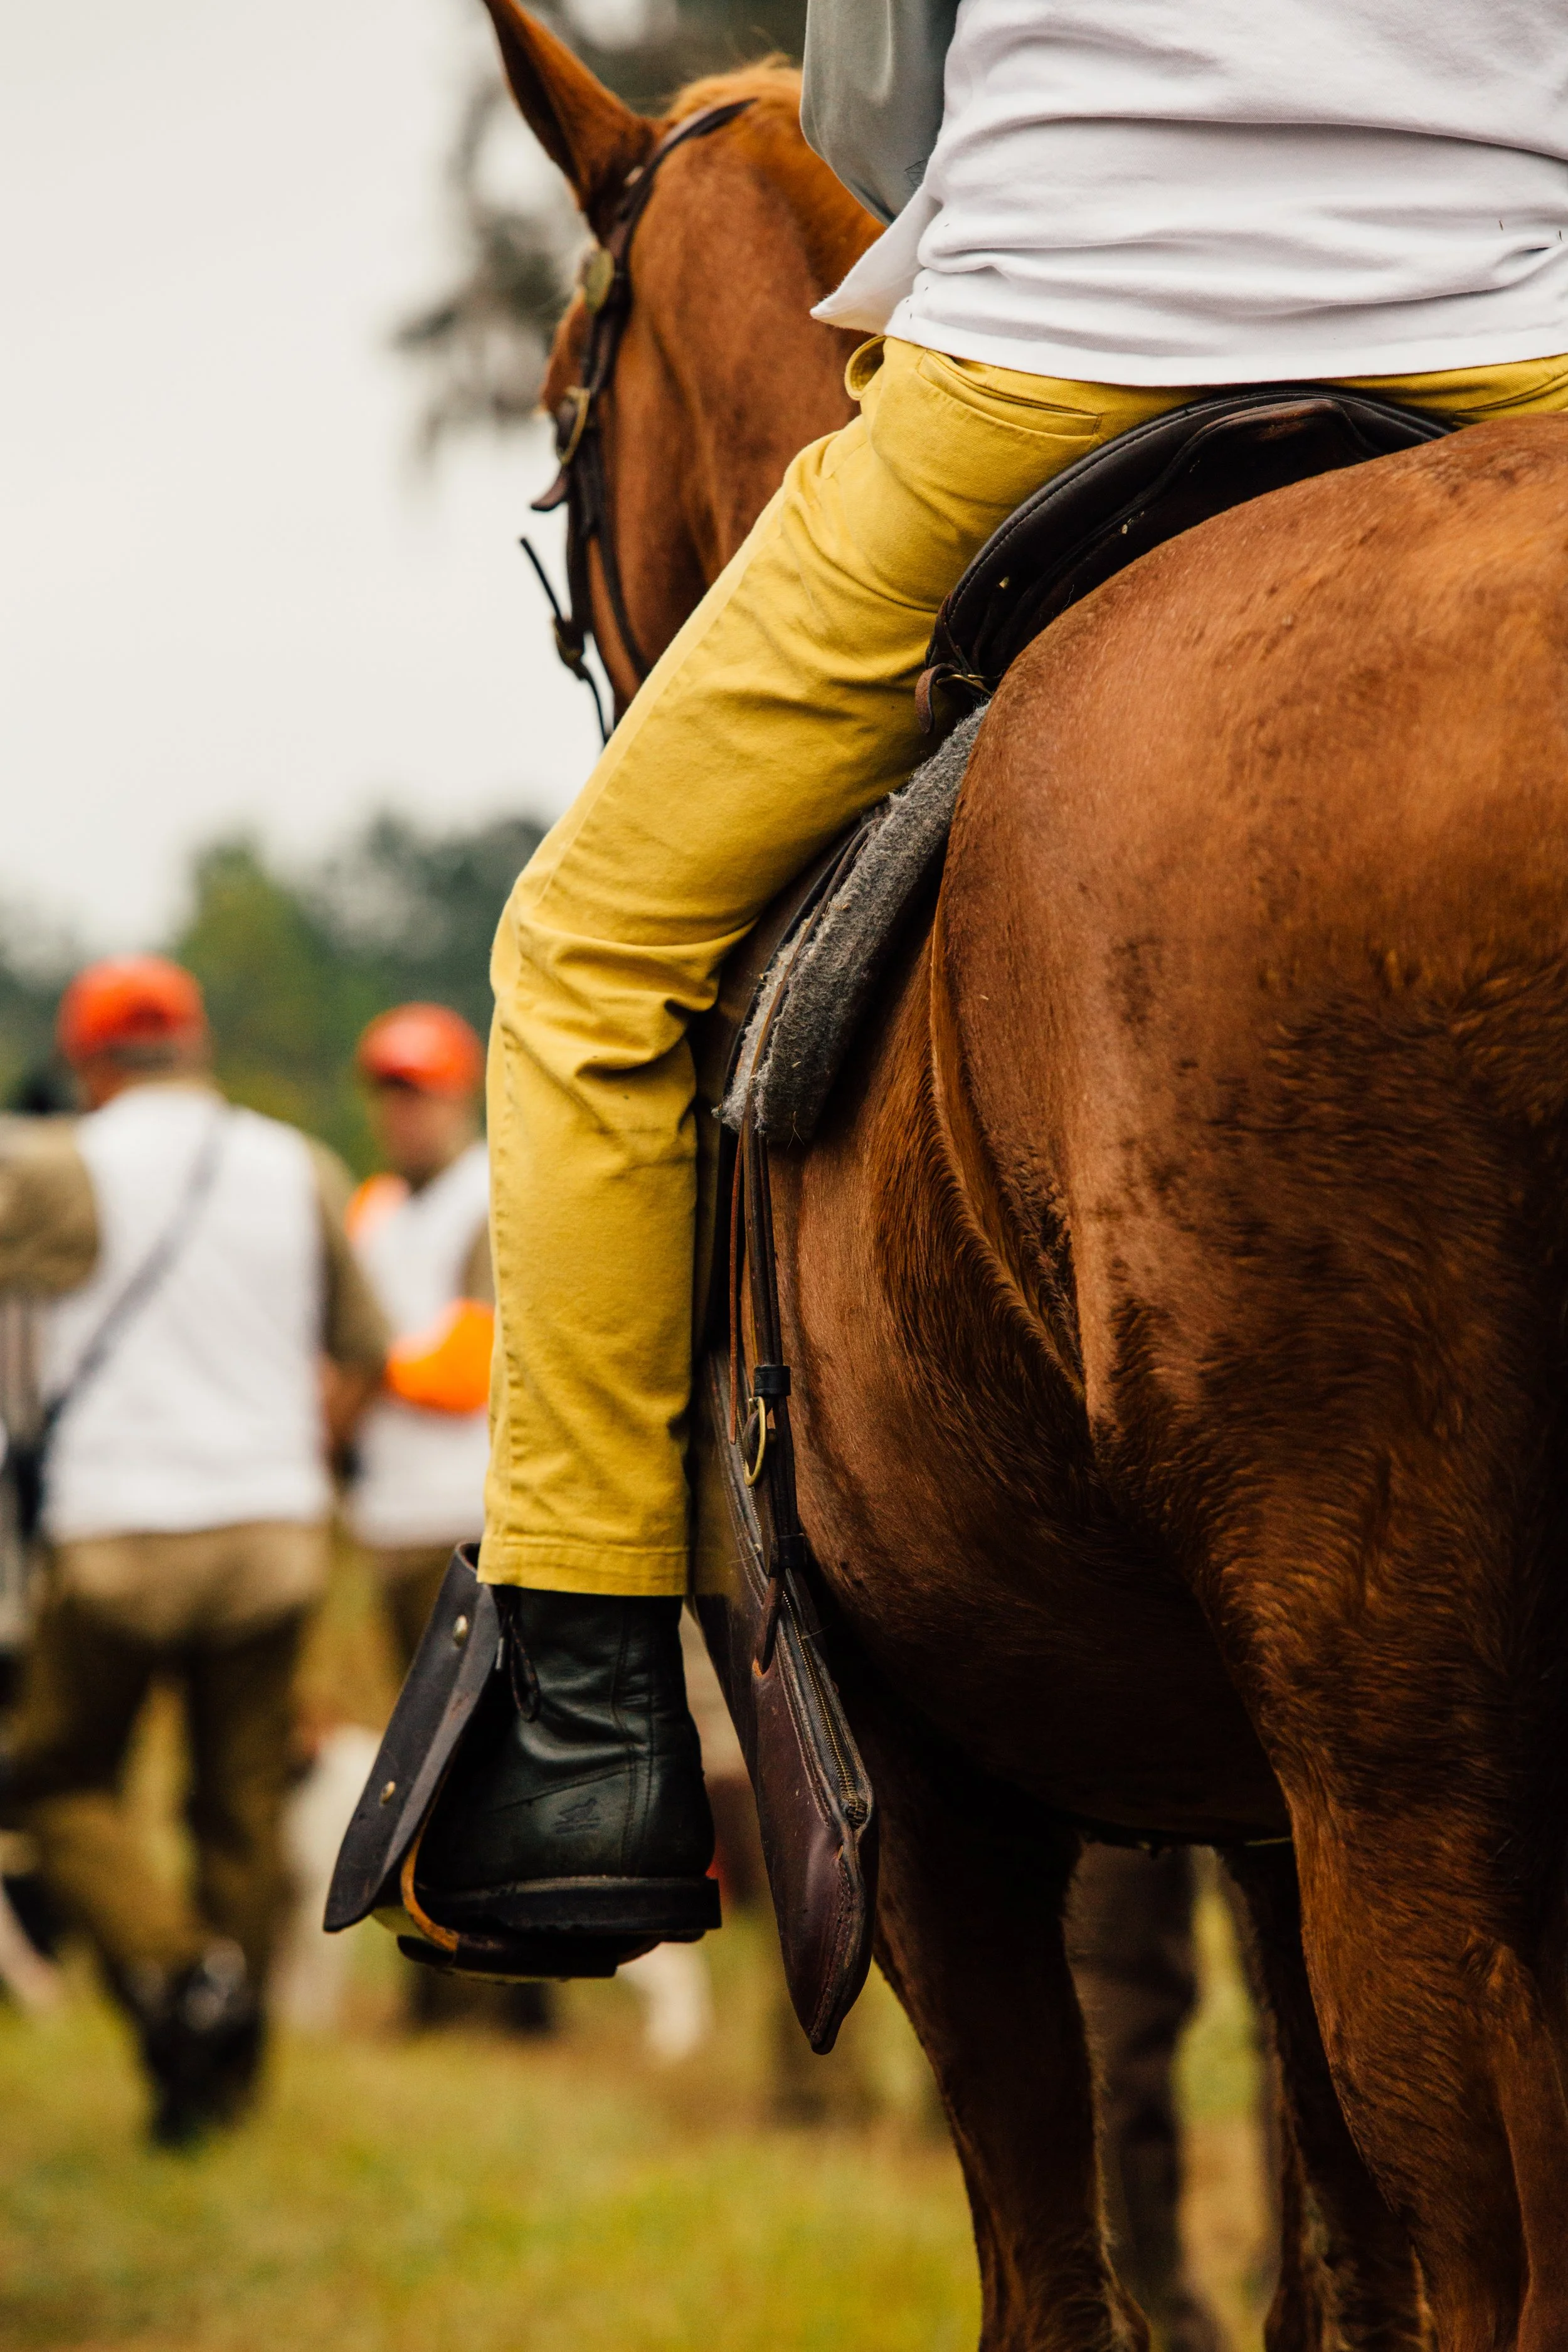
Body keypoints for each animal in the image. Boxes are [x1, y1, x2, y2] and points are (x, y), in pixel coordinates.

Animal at [483, 7, 1568, 2343]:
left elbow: (1059, 2271)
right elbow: (1318, 2252)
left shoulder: (924, 1807)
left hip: (1410, 1773)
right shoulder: (1241, 1796)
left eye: (550, 408)